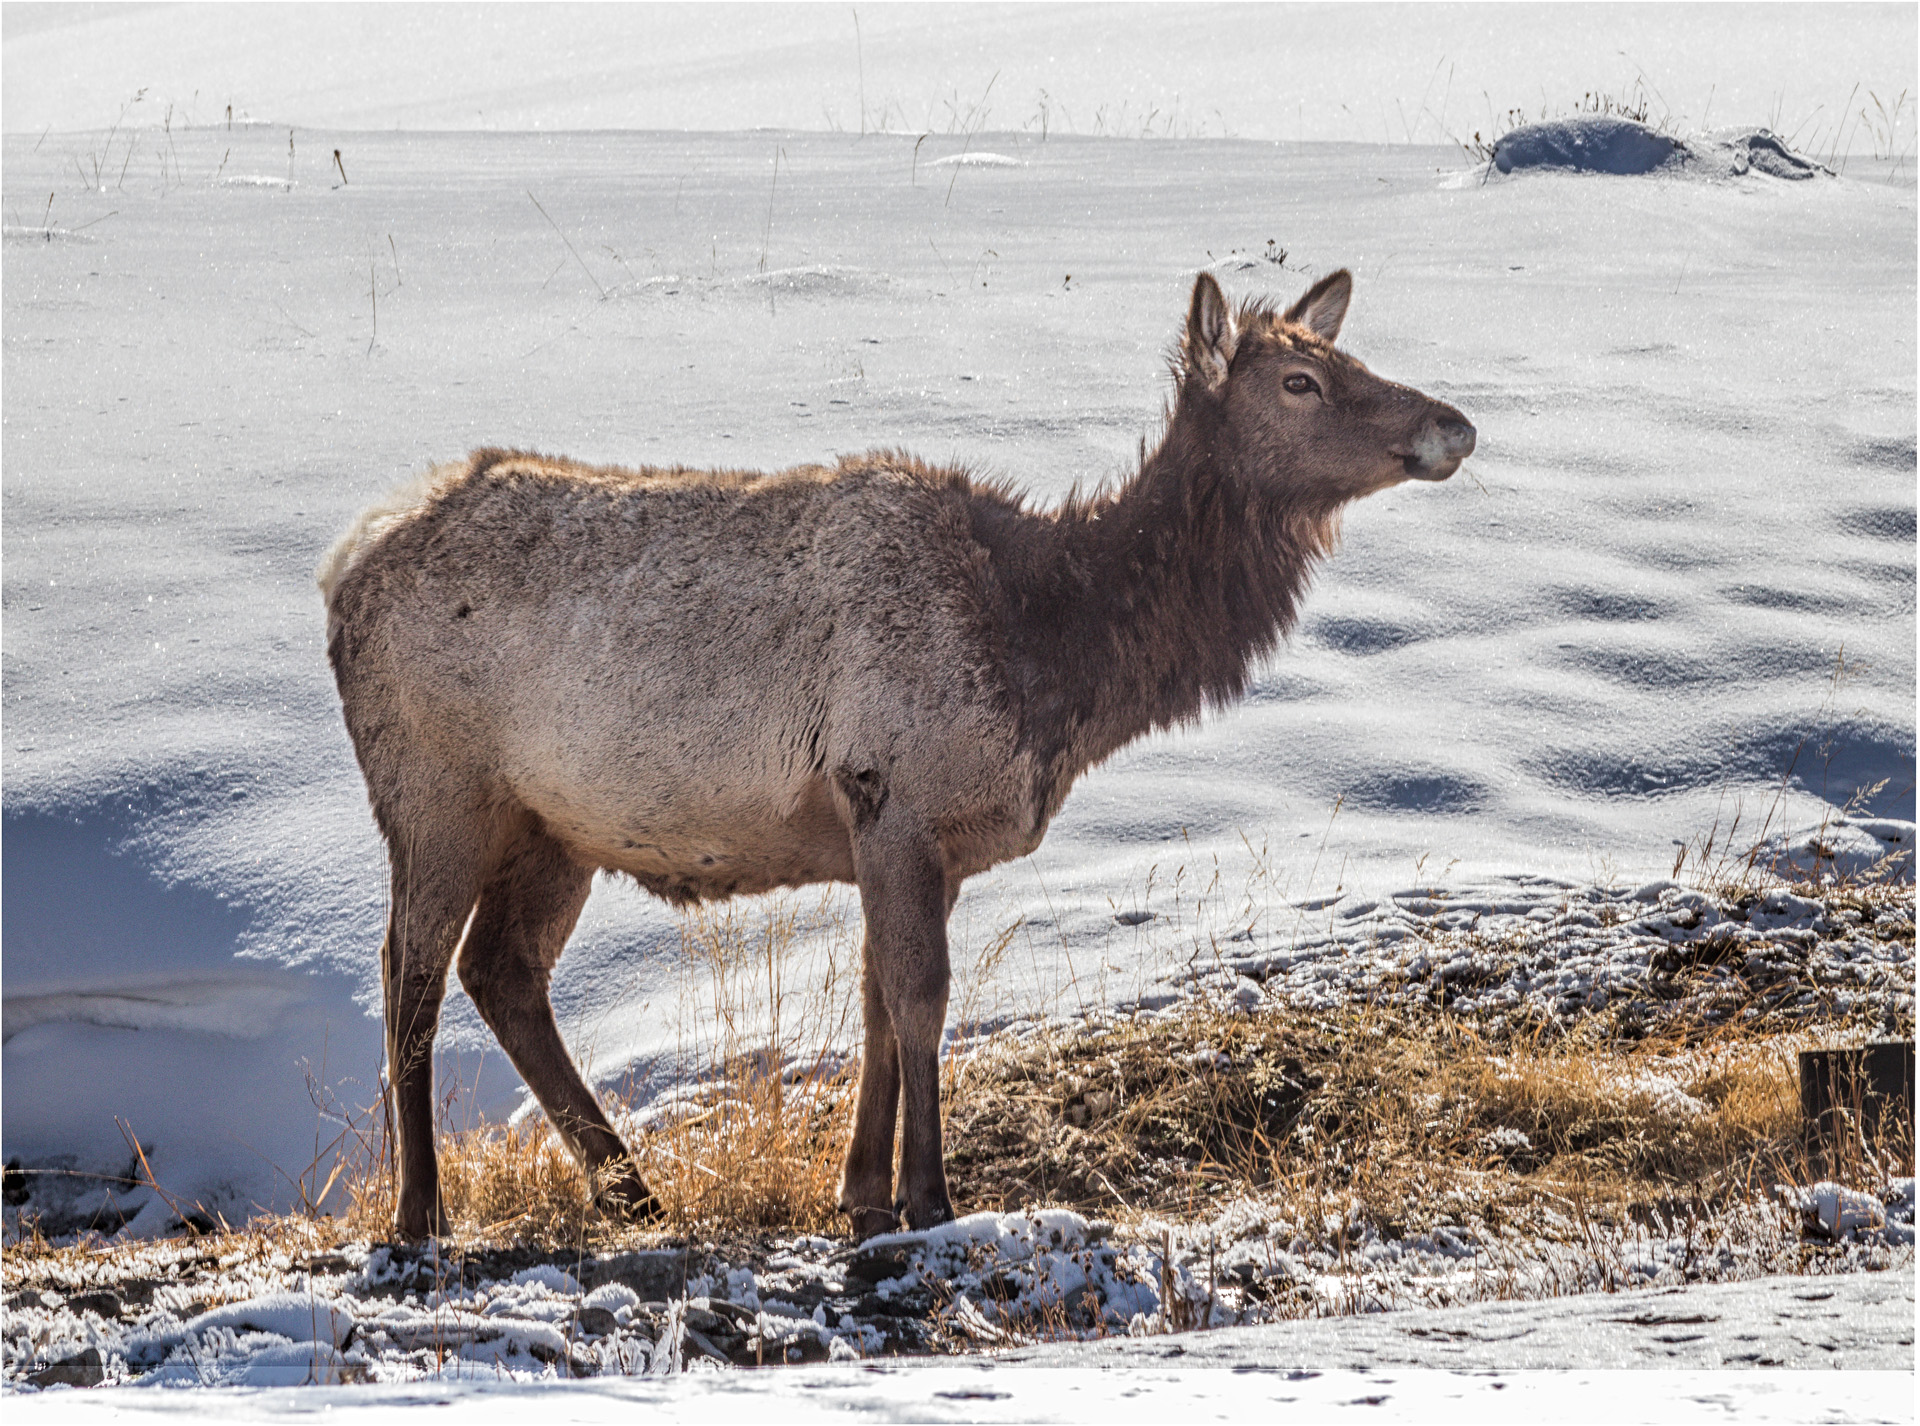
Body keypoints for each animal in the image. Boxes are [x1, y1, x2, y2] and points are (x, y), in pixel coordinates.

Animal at [322, 272, 1474, 1243]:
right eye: (1300, 381)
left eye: (1345, 355)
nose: (1453, 424)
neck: (1050, 661)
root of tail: (342, 570)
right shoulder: (897, 795)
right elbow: (921, 997)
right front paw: (928, 1195)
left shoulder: (915, 838)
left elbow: (878, 999)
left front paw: (862, 1189)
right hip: (435, 789)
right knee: (409, 973)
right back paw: (420, 1210)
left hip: (556, 826)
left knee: (503, 969)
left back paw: (632, 1190)